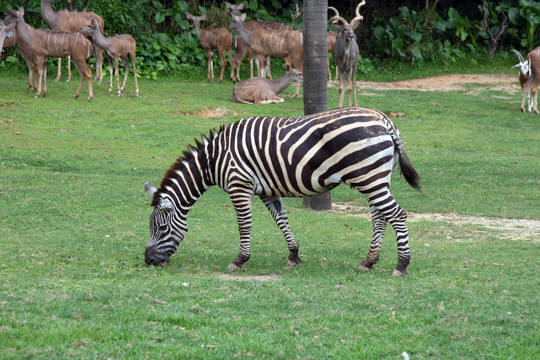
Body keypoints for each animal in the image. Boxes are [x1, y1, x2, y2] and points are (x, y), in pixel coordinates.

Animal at [144, 106, 422, 276]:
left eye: (162, 228)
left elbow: (244, 224)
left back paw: (402, 264)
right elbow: (281, 219)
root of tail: (385, 120)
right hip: (376, 178)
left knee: (397, 214)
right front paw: (294, 254)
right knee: (380, 217)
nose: (148, 260)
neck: (213, 160)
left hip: (369, 177)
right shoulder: (267, 190)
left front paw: (240, 259)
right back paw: (369, 261)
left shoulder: (239, 185)